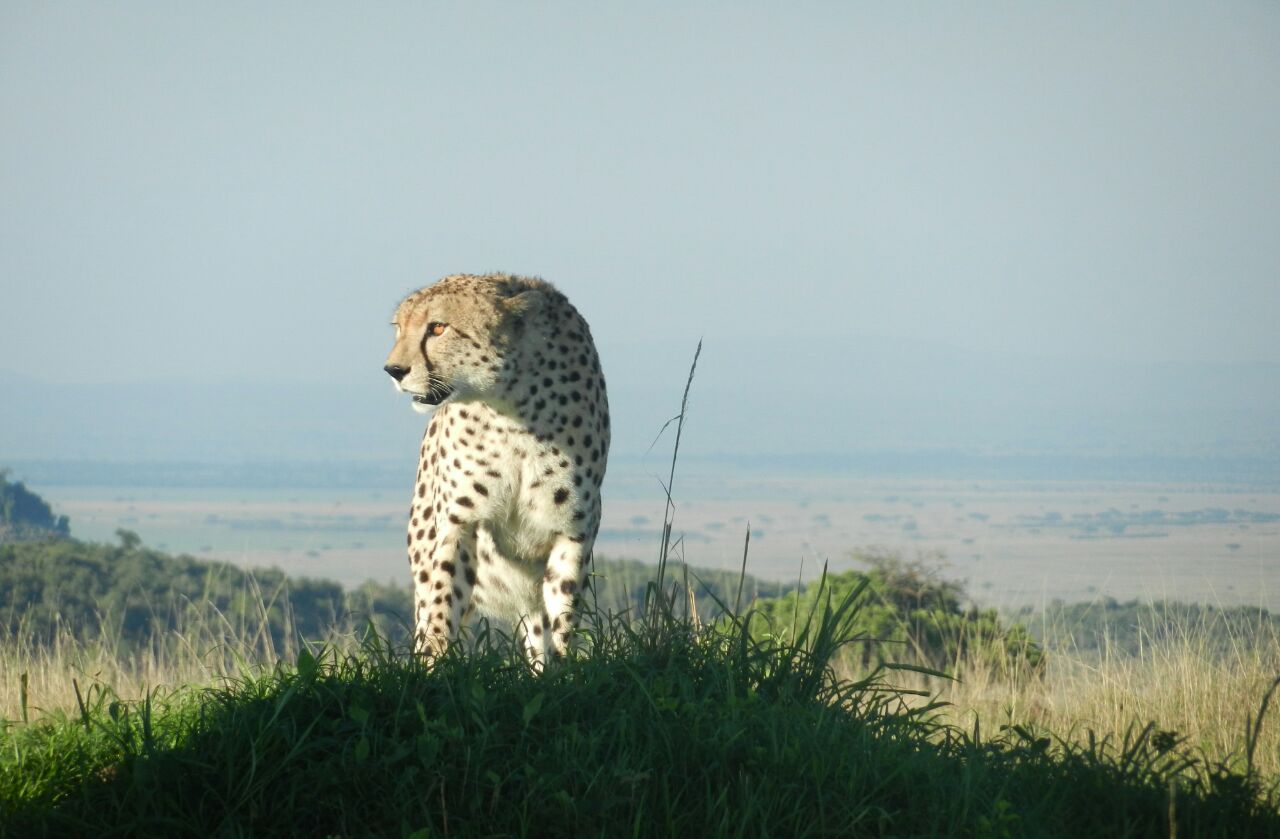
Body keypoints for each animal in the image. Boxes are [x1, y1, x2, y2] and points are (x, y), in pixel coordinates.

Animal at [381, 274, 611, 660]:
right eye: (400, 329)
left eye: (438, 327)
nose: (394, 370)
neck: (511, 408)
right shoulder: (460, 523)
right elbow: (442, 605)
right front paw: (434, 664)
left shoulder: (572, 531)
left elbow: (562, 619)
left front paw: (563, 668)